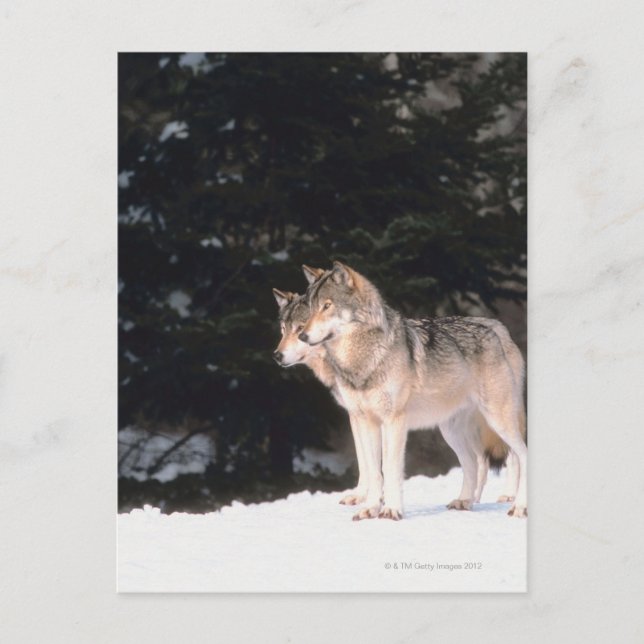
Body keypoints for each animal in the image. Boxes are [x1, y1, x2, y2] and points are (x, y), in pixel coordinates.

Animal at [273, 266, 519, 513]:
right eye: (283, 330)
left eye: (299, 328)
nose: (277, 355)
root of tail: (498, 327)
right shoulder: (358, 415)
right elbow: (366, 460)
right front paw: (366, 498)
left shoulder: (382, 417)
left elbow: (380, 464)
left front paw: (377, 501)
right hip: (453, 427)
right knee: (479, 460)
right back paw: (470, 500)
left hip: (494, 417)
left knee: (509, 454)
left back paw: (509, 497)